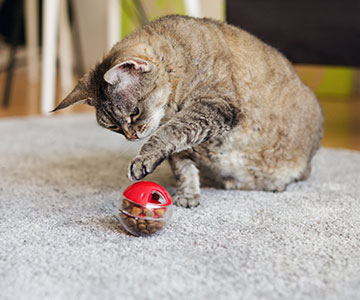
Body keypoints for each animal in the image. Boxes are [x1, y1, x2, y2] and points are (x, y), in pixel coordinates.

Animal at [52, 14, 324, 206]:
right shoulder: (185, 143)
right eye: (113, 126)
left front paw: (142, 159)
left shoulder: (215, 105)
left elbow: (167, 134)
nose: (131, 136)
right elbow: (182, 166)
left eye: (134, 112)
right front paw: (188, 194)